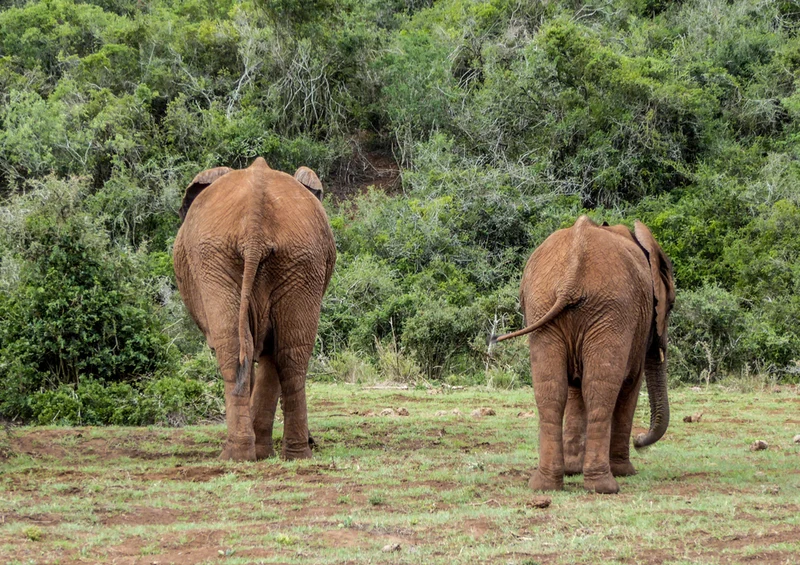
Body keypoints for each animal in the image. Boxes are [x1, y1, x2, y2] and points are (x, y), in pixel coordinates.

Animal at [173, 157, 336, 461]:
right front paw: (263, 451)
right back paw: (295, 454)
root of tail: (255, 222)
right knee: (290, 353)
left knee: (235, 350)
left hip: (215, 261)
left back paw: (235, 455)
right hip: (301, 259)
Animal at [492, 215, 675, 494]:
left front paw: (573, 470)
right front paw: (625, 472)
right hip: (613, 310)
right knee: (600, 389)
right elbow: (630, 384)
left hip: (543, 305)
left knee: (552, 390)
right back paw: (604, 486)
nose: (639, 440)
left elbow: (574, 390)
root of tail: (572, 275)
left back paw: (544, 485)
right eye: (671, 305)